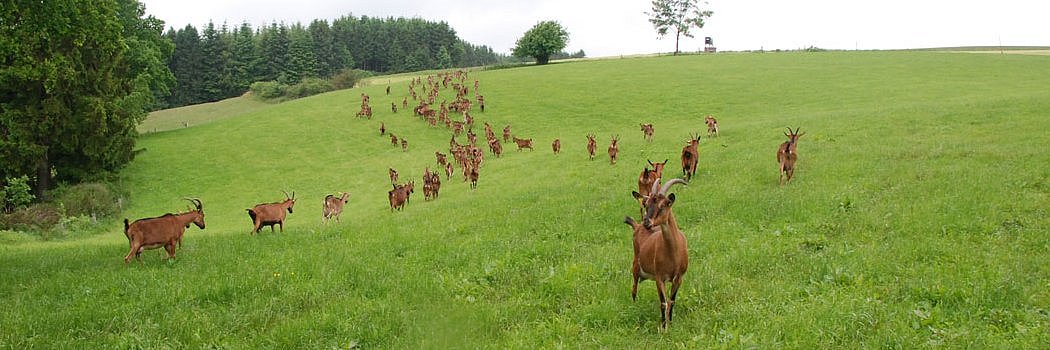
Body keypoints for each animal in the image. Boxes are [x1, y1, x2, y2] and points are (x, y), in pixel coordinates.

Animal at [625, 178, 692, 327]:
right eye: (646, 204)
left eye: (663, 205)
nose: (647, 222)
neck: (673, 253)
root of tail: (637, 227)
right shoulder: (659, 277)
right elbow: (663, 303)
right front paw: (663, 327)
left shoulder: (679, 277)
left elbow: (671, 300)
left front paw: (670, 322)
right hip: (635, 266)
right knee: (634, 288)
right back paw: (634, 306)